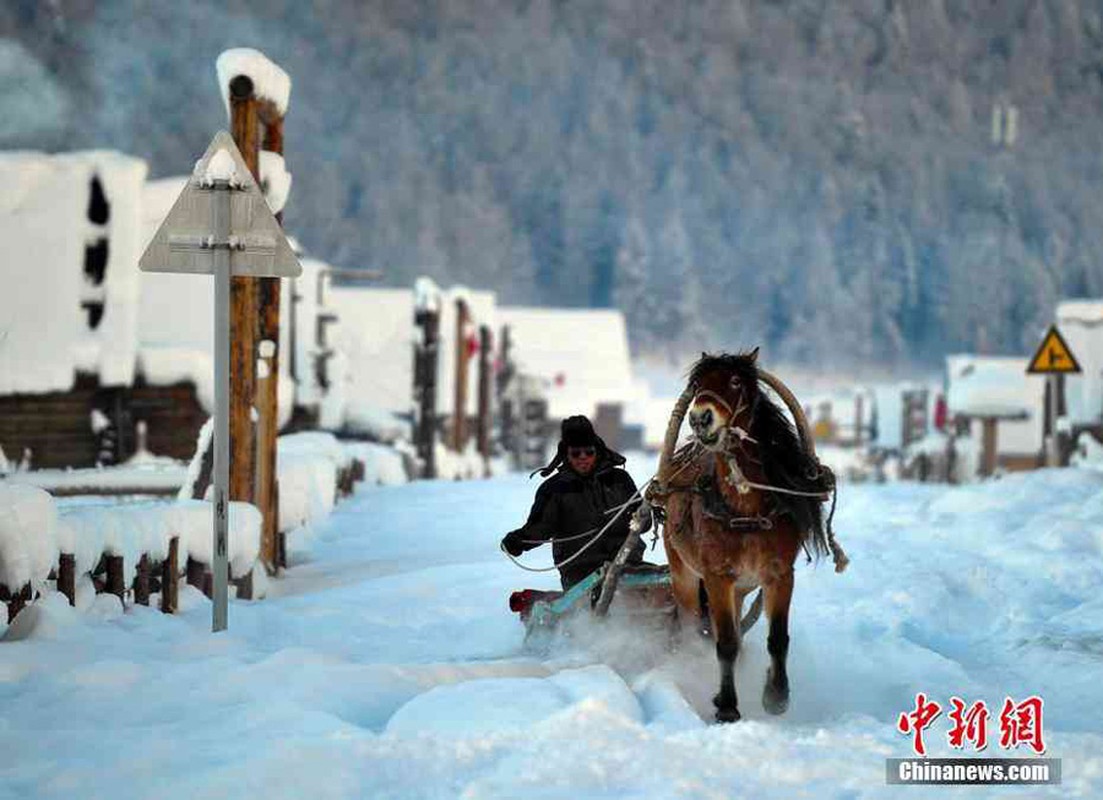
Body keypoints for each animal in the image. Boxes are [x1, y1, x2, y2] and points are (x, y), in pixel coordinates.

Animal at [644, 348, 842, 723]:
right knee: (695, 628)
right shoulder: (717, 576)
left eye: (735, 381)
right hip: (684, 575)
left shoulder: (779, 575)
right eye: (697, 385)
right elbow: (725, 643)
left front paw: (776, 695)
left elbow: (777, 638)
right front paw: (727, 706)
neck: (745, 509)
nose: (700, 418)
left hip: (741, 587)